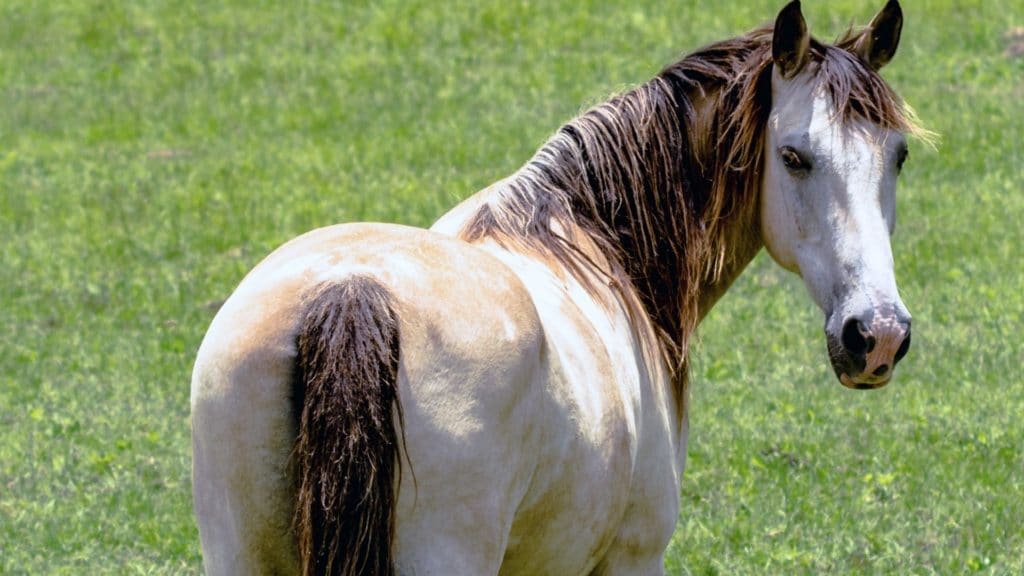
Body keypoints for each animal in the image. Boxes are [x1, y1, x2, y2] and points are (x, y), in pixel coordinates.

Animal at [186, 2, 929, 569]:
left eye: (899, 155)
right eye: (794, 157)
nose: (877, 334)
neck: (599, 243)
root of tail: (348, 292)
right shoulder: (632, 559)